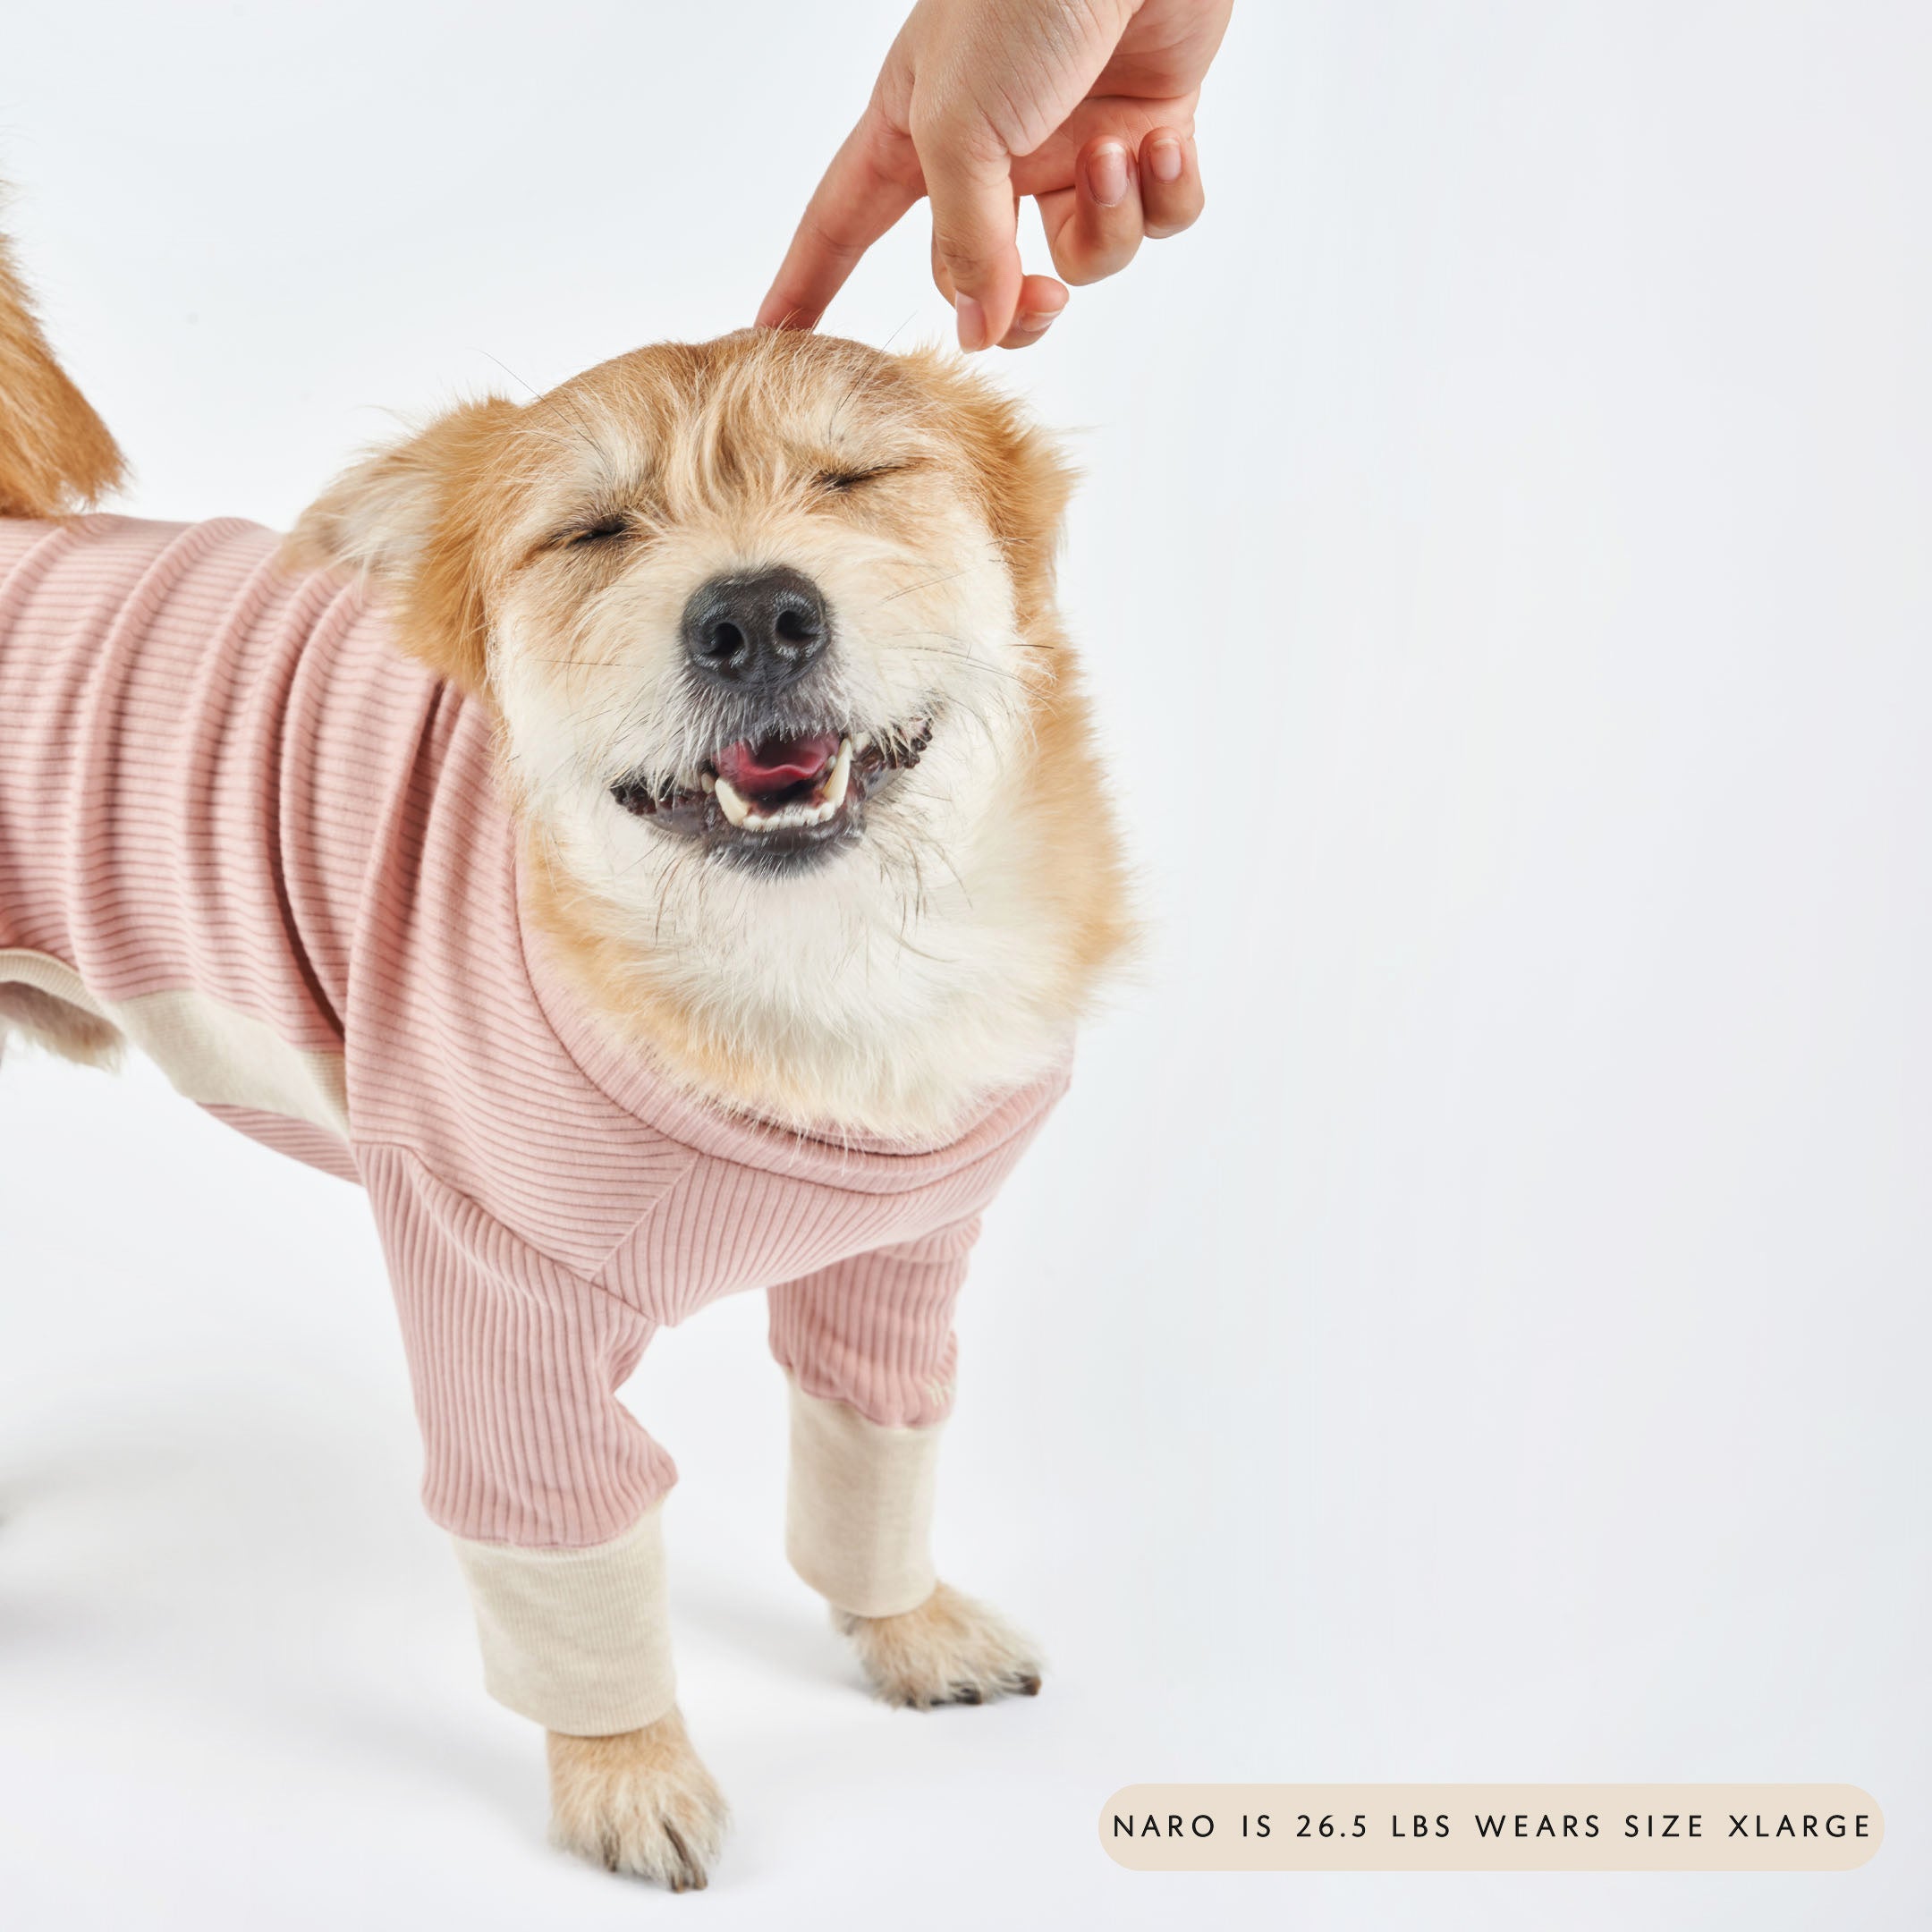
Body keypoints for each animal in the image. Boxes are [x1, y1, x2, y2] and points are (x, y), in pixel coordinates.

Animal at [0, 215, 1128, 1885]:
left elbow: (870, 1457)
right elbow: (570, 1546)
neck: (801, 968)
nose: (754, 614)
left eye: (851, 479)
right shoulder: (495, 1303)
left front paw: (905, 1626)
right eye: (597, 532)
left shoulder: (899, 1264)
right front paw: (626, 1769)